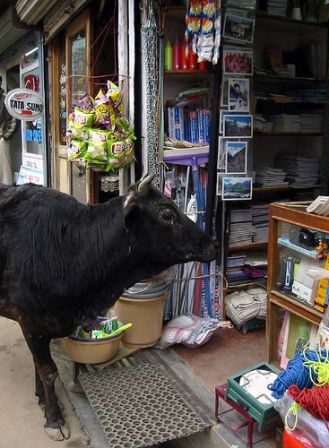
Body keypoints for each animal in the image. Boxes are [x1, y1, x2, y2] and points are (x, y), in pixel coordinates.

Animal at [0, 173, 215, 440]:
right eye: (167, 214)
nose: (212, 243)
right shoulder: (31, 323)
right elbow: (48, 370)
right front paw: (54, 419)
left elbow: (39, 366)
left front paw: (42, 398)